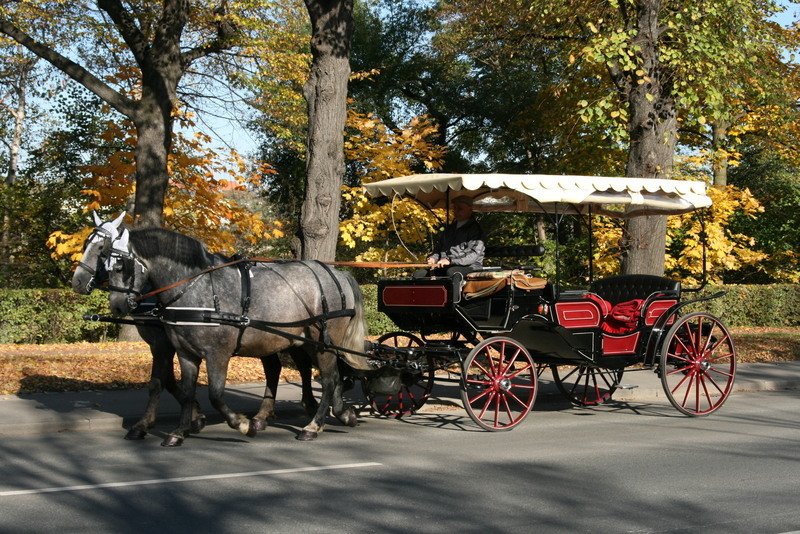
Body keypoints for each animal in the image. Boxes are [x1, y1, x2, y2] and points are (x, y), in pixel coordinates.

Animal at [81, 216, 368, 446]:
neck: (195, 289)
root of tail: (338, 273)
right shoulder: (185, 353)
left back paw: (313, 425)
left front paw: (241, 424)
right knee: (307, 372)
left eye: (118, 265)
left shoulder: (214, 353)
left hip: (322, 342)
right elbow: (185, 390)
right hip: (296, 339)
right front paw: (180, 430)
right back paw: (335, 412)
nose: (118, 305)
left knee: (329, 379)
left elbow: (214, 394)